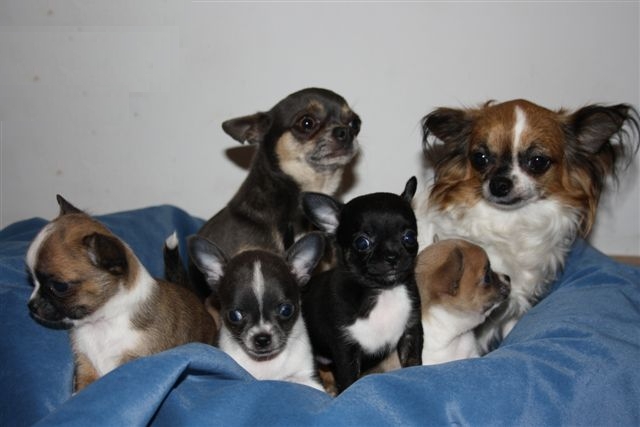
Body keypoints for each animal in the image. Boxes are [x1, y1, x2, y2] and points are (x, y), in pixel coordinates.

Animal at [26, 196, 217, 392]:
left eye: (59, 287)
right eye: (32, 280)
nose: (31, 306)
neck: (102, 322)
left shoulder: (132, 360)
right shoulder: (85, 365)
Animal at [301, 177, 423, 393]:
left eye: (409, 237)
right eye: (362, 243)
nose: (392, 256)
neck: (382, 291)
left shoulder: (411, 331)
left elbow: (412, 363)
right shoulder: (345, 350)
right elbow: (350, 381)